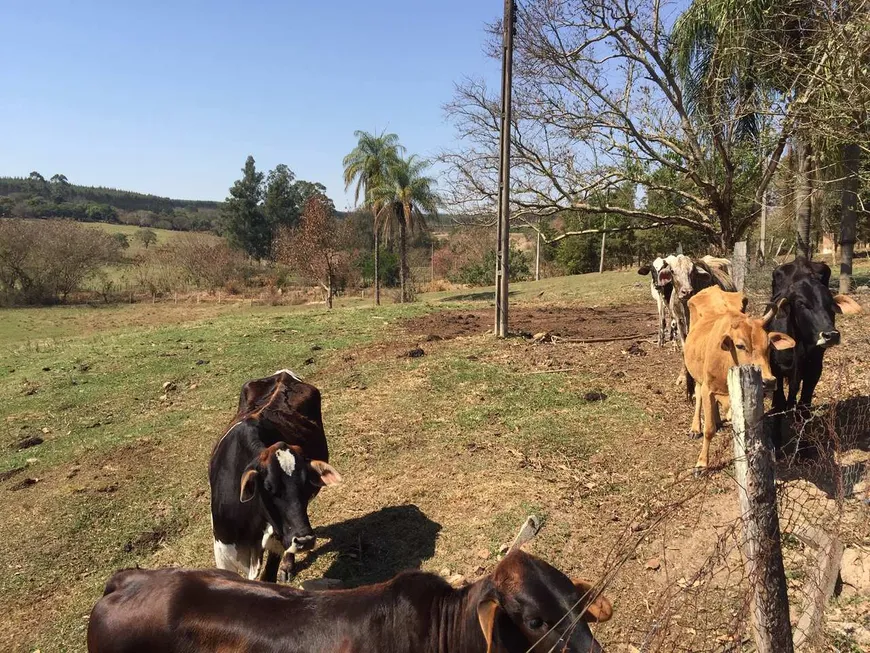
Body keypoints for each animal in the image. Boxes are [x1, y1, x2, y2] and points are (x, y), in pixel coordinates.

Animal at [211, 370, 344, 584]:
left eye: (307, 486)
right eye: (268, 487)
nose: (305, 540)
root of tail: (283, 374)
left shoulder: (278, 537)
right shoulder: (223, 551)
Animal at [684, 288, 800, 472]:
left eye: (769, 345)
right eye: (740, 345)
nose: (769, 381)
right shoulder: (708, 387)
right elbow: (709, 429)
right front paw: (701, 463)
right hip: (697, 375)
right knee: (698, 394)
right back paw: (695, 428)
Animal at [768, 258, 864, 410]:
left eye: (832, 303)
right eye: (801, 304)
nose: (831, 335)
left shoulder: (814, 370)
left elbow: (804, 402)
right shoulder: (776, 368)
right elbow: (781, 400)